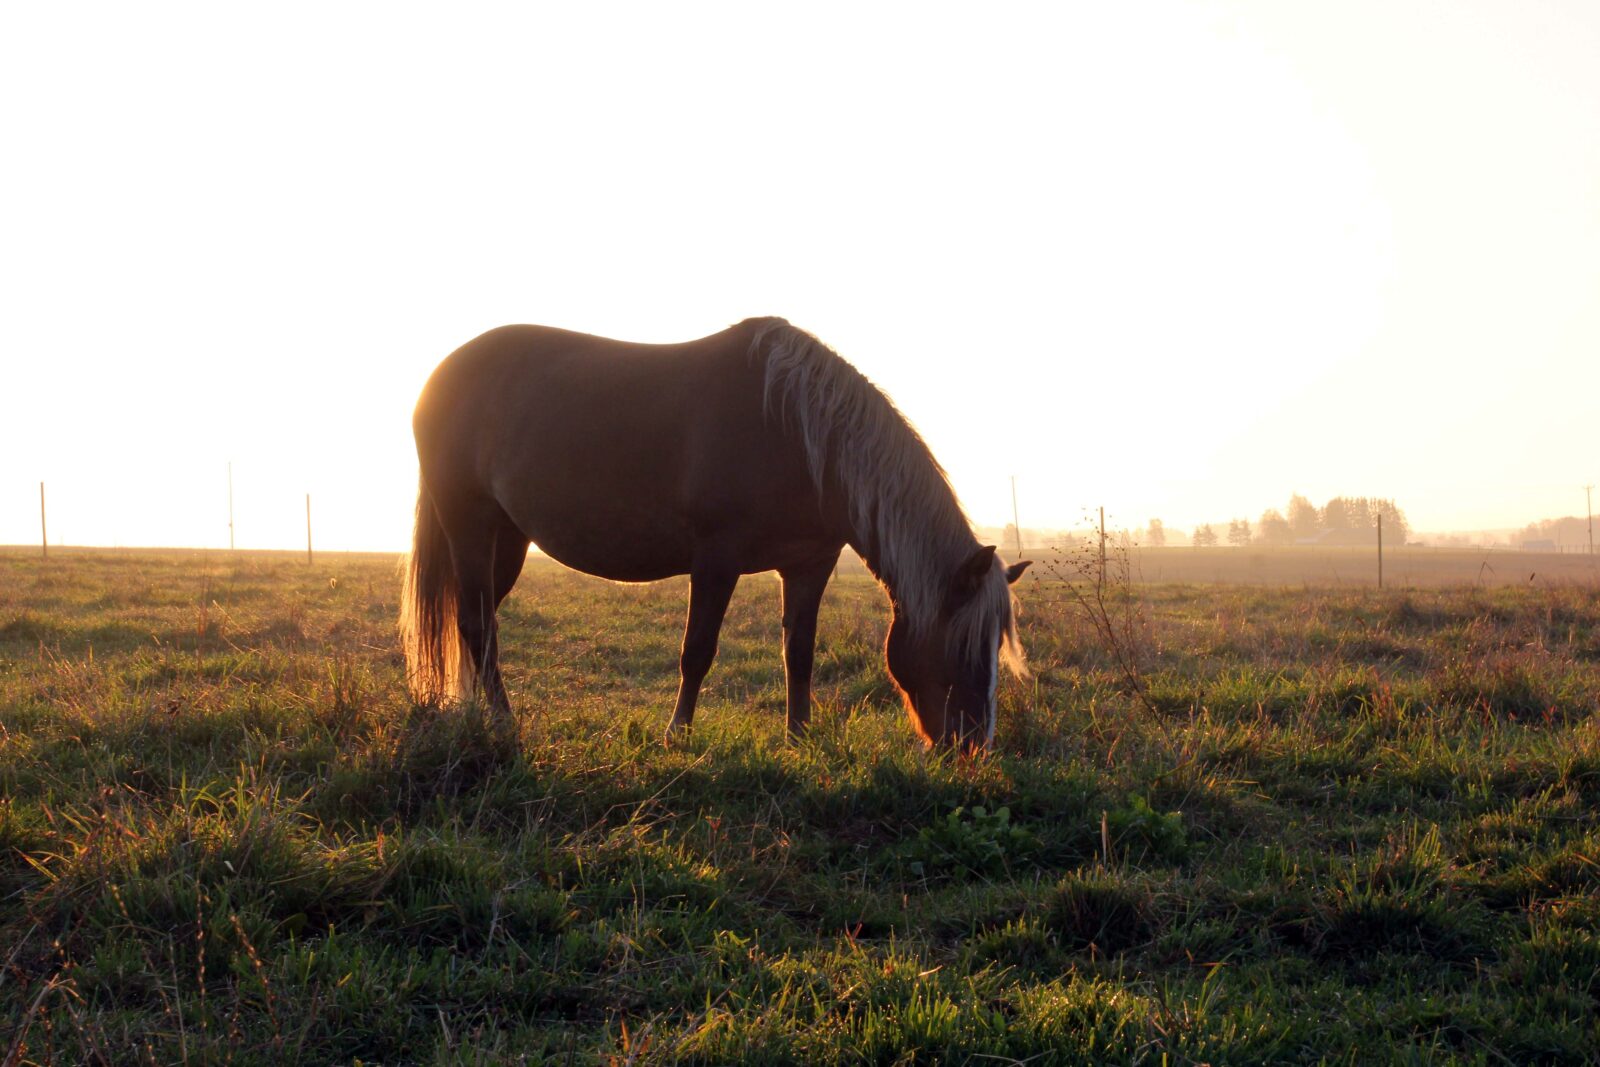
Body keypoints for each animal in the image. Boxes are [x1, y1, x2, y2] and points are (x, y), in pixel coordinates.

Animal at [396, 316, 1024, 751]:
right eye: (964, 644)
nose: (973, 748)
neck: (798, 435)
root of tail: (441, 374)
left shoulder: (809, 564)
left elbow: (799, 653)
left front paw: (800, 737)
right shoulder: (716, 560)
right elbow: (697, 651)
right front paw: (677, 734)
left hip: (507, 539)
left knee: (478, 621)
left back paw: (473, 711)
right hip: (468, 522)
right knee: (476, 624)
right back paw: (503, 723)